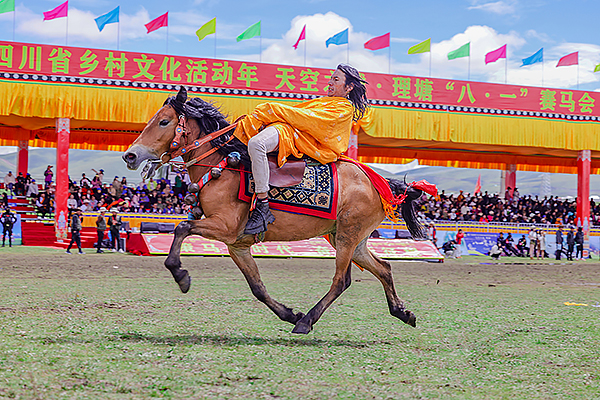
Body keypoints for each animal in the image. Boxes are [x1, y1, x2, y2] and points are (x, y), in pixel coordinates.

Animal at [123, 87, 426, 334]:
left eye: (164, 121)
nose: (130, 155)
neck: (222, 166)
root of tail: (380, 182)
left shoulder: (225, 227)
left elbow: (181, 228)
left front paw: (181, 275)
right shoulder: (237, 244)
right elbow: (257, 287)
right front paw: (289, 314)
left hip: (347, 238)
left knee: (342, 280)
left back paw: (308, 321)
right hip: (349, 237)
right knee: (384, 267)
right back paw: (402, 312)